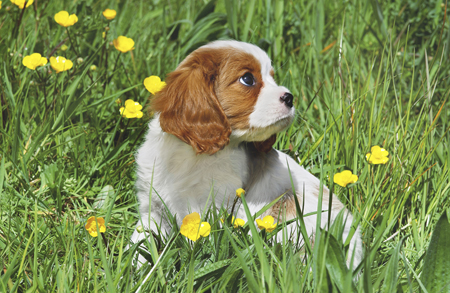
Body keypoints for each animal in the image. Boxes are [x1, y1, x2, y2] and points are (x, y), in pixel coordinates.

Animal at [130, 40, 362, 266]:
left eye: (272, 77)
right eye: (248, 79)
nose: (290, 98)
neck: (191, 156)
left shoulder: (212, 209)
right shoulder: (152, 207)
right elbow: (140, 241)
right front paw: (133, 270)